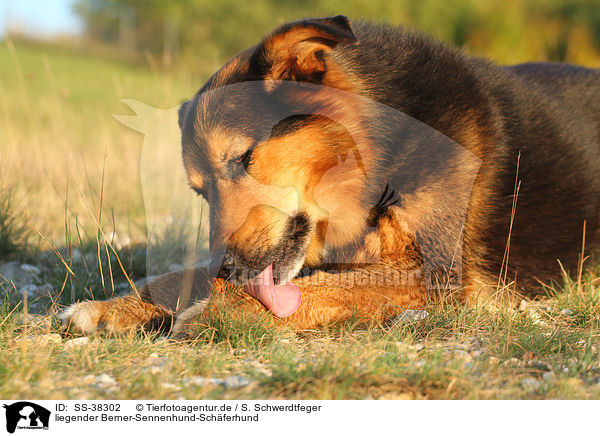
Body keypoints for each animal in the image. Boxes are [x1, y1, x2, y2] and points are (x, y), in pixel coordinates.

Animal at [59, 13, 600, 334]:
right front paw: (115, 306)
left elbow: (311, 292)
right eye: (201, 192)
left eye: (242, 158)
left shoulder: (439, 276)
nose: (227, 269)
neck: (378, 156)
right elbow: (182, 274)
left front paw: (219, 310)